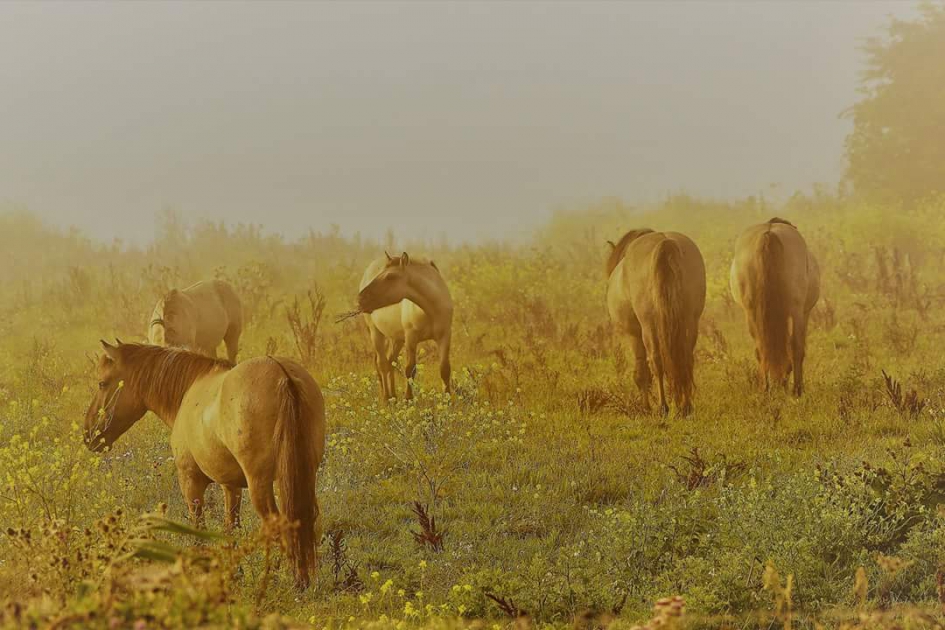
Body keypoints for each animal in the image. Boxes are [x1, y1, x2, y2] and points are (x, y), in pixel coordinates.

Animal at [84, 341, 325, 589]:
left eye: (102, 383)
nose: (89, 434)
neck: (189, 389)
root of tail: (283, 376)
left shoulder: (191, 483)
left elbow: (199, 530)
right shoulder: (231, 486)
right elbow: (231, 527)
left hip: (260, 484)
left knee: (277, 525)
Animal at [357, 252, 453, 400]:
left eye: (390, 276)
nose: (361, 298)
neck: (430, 310)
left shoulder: (444, 336)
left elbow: (445, 369)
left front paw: (448, 399)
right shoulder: (411, 338)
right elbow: (410, 369)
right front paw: (408, 398)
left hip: (397, 339)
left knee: (390, 362)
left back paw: (393, 396)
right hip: (376, 333)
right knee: (382, 364)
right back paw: (386, 398)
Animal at [606, 229, 707, 415]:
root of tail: (664, 242)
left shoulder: (634, 334)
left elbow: (641, 373)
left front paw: (645, 407)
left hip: (648, 326)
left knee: (656, 361)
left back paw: (663, 407)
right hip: (690, 321)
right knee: (686, 358)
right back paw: (685, 406)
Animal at [730, 218, 820, 396]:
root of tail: (769, 233)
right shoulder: (804, 313)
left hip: (750, 312)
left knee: (761, 347)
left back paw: (764, 389)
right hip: (797, 310)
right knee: (796, 346)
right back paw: (797, 389)